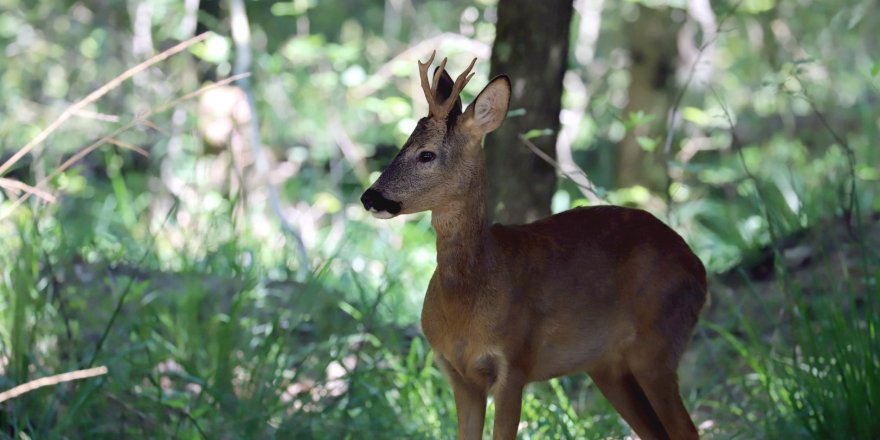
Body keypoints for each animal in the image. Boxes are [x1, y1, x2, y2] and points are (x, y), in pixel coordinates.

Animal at [360, 52, 708, 440]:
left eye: (426, 155)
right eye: (402, 145)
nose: (369, 197)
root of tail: (698, 265)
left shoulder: (514, 363)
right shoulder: (457, 372)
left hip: (658, 343)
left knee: (687, 430)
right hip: (608, 367)